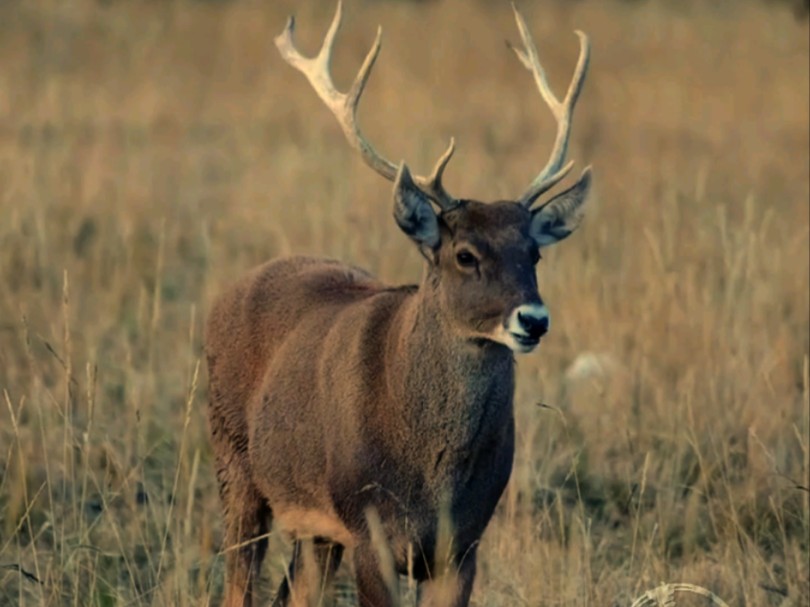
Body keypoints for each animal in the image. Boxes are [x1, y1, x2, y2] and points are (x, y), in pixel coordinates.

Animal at [206, 2, 592, 606]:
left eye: (534, 253)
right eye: (464, 254)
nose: (533, 320)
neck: (432, 475)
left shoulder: (464, 544)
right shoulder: (370, 529)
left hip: (315, 529)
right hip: (234, 460)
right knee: (237, 583)